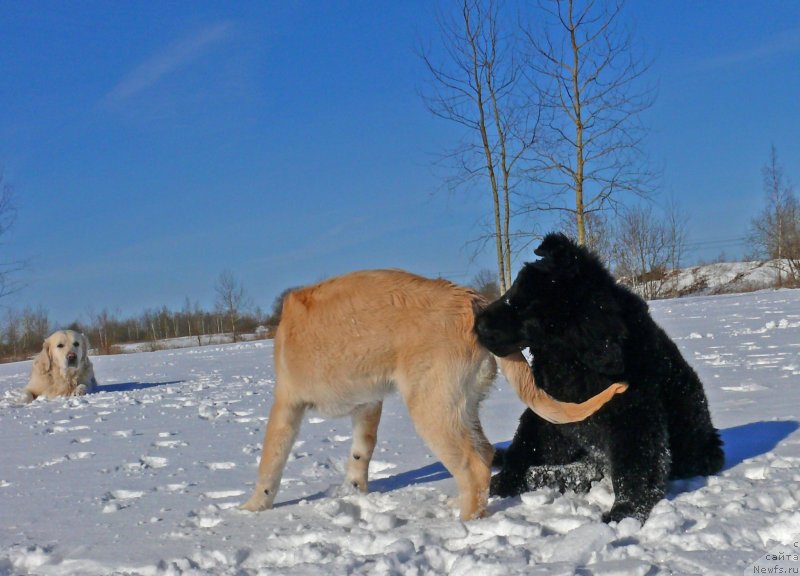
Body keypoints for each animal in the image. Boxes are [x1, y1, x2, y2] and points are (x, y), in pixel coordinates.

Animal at [241, 272, 628, 520]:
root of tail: (473, 301)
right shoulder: (368, 404)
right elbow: (360, 453)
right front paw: (354, 490)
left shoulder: (287, 402)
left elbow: (270, 461)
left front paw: (254, 507)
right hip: (461, 406)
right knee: (486, 455)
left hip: (432, 409)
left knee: (474, 466)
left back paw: (465, 522)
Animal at [476, 232, 724, 524]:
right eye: (512, 291)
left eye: (526, 311)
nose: (477, 324)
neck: (572, 357)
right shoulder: (548, 416)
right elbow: (526, 449)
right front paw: (501, 483)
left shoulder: (635, 415)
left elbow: (635, 469)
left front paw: (625, 513)